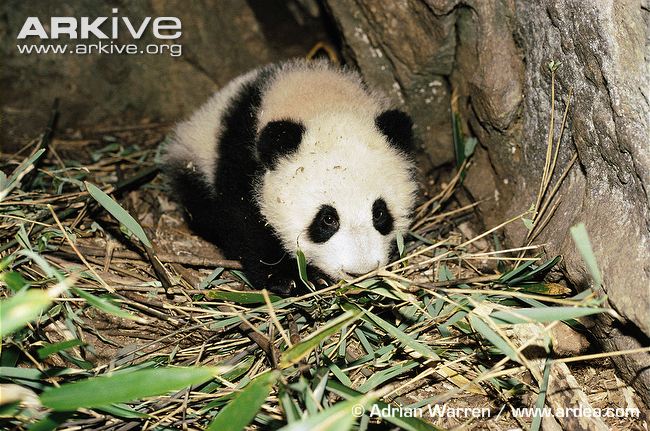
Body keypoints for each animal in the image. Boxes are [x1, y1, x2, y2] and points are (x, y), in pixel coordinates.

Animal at [164, 59, 418, 295]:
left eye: (380, 213)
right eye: (327, 219)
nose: (359, 271)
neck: (321, 101)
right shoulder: (240, 158)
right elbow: (244, 222)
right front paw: (292, 278)